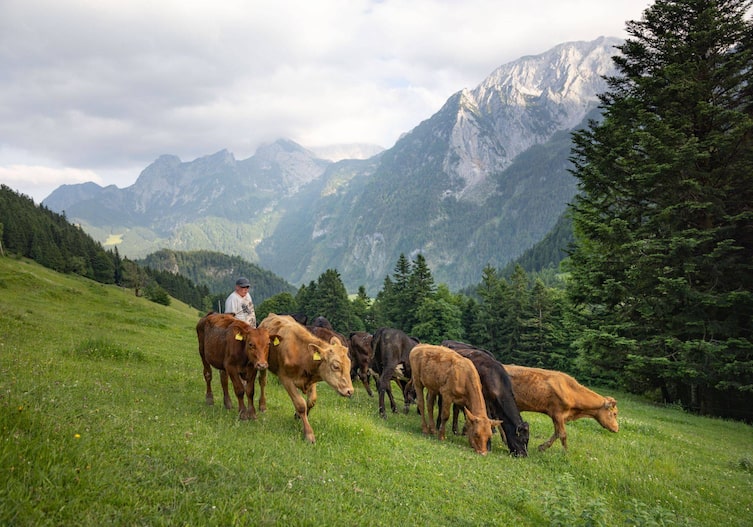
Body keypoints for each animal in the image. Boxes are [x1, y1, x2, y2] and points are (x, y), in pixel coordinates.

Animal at [258, 313, 354, 443]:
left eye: (349, 365)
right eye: (335, 366)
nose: (350, 391)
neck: (301, 353)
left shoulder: (311, 379)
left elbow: (311, 401)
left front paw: (298, 417)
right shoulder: (285, 378)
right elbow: (300, 404)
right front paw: (308, 433)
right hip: (263, 363)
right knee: (262, 382)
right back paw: (262, 405)